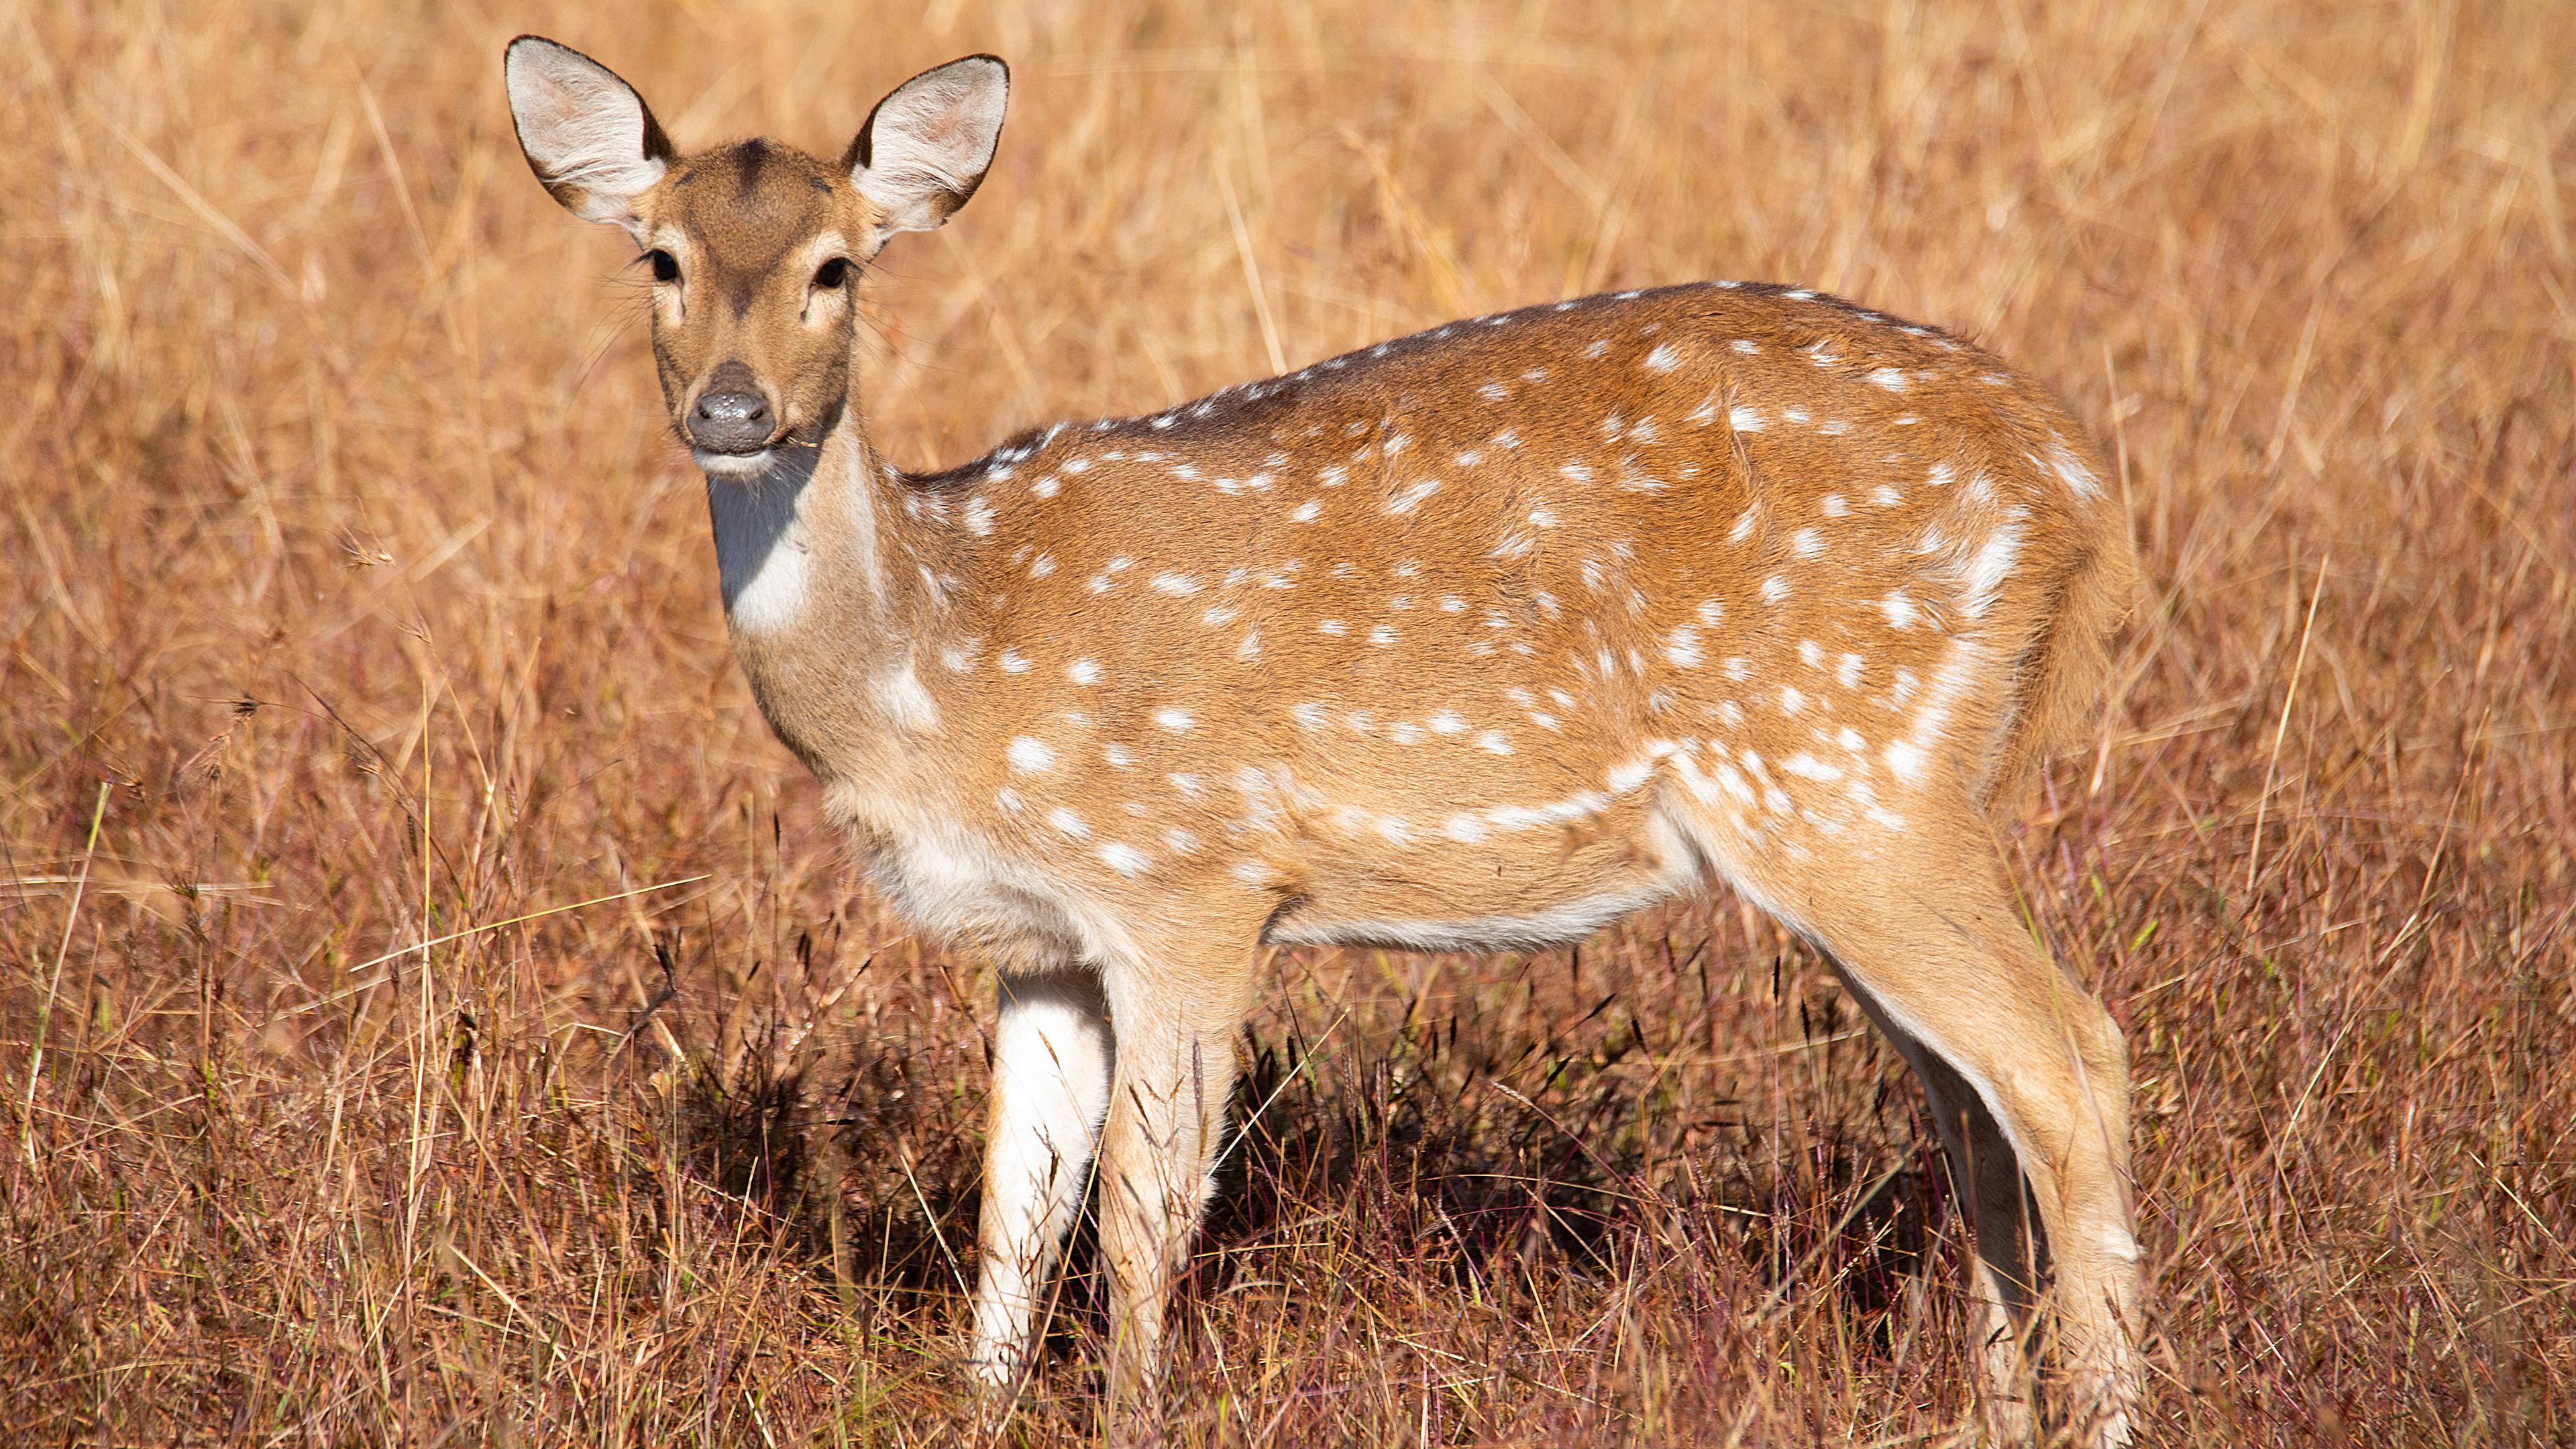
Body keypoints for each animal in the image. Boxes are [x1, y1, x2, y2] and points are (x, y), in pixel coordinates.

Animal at [504, 36, 2145, 1445]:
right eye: (659, 259)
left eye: (837, 267)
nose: (734, 409)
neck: (940, 665)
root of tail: (2074, 481)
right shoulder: (1041, 938)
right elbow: (1014, 1213)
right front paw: (979, 1414)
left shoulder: (1189, 880)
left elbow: (1144, 1211)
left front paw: (1137, 1418)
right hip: (1886, 798)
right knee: (1976, 1110)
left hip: (1850, 772)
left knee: (2073, 1063)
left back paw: (2115, 1408)